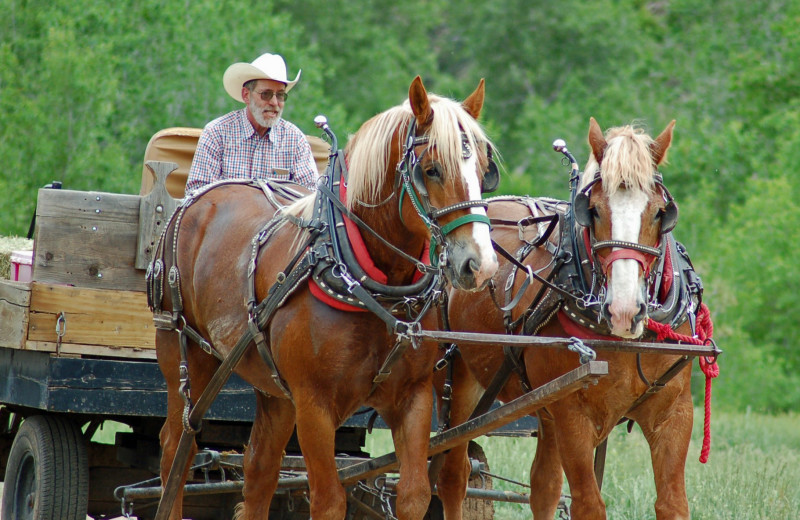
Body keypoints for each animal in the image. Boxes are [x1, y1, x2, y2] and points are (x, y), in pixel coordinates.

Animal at [149, 77, 496, 520]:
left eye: (485, 171)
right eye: (431, 169)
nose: (480, 264)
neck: (367, 282)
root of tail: (194, 202)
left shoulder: (414, 397)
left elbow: (415, 495)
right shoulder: (313, 404)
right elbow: (329, 500)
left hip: (273, 387)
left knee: (259, 468)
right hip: (184, 353)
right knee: (177, 449)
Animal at [438, 119, 708, 520]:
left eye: (662, 212)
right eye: (592, 210)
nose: (624, 310)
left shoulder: (673, 412)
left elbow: (673, 504)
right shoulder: (573, 414)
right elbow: (588, 504)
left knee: (543, 487)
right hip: (462, 382)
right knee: (453, 474)